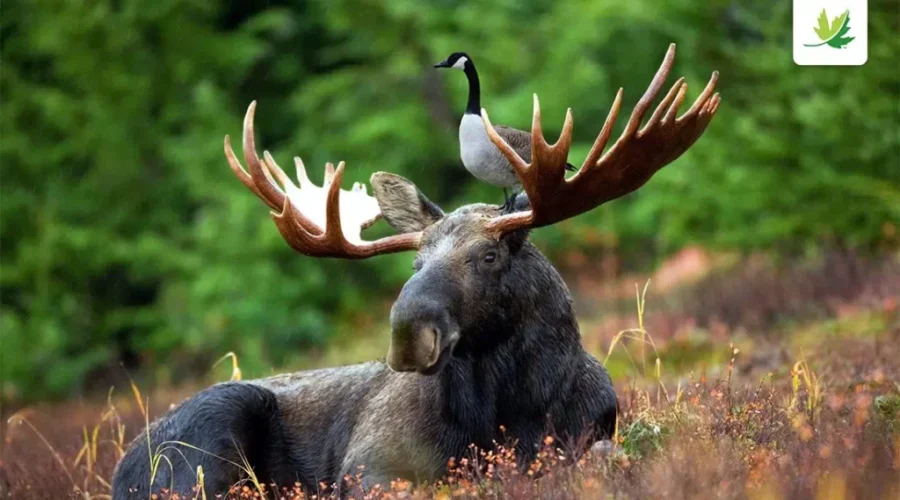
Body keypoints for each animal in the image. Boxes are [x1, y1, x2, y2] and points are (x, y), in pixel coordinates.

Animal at [112, 44, 719, 498]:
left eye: (489, 256)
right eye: (415, 260)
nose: (408, 333)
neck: (511, 411)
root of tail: (122, 467)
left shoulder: (594, 431)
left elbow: (604, 455)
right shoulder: (370, 463)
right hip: (211, 432)